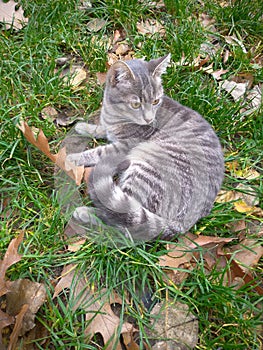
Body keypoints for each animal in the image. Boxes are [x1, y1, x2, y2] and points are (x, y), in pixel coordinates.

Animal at [67, 54, 225, 242]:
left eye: (156, 101)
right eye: (136, 105)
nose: (149, 119)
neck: (114, 114)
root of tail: (183, 224)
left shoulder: (123, 147)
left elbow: (96, 152)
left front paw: (73, 157)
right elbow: (101, 128)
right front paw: (85, 127)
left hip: (144, 170)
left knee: (123, 224)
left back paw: (86, 212)